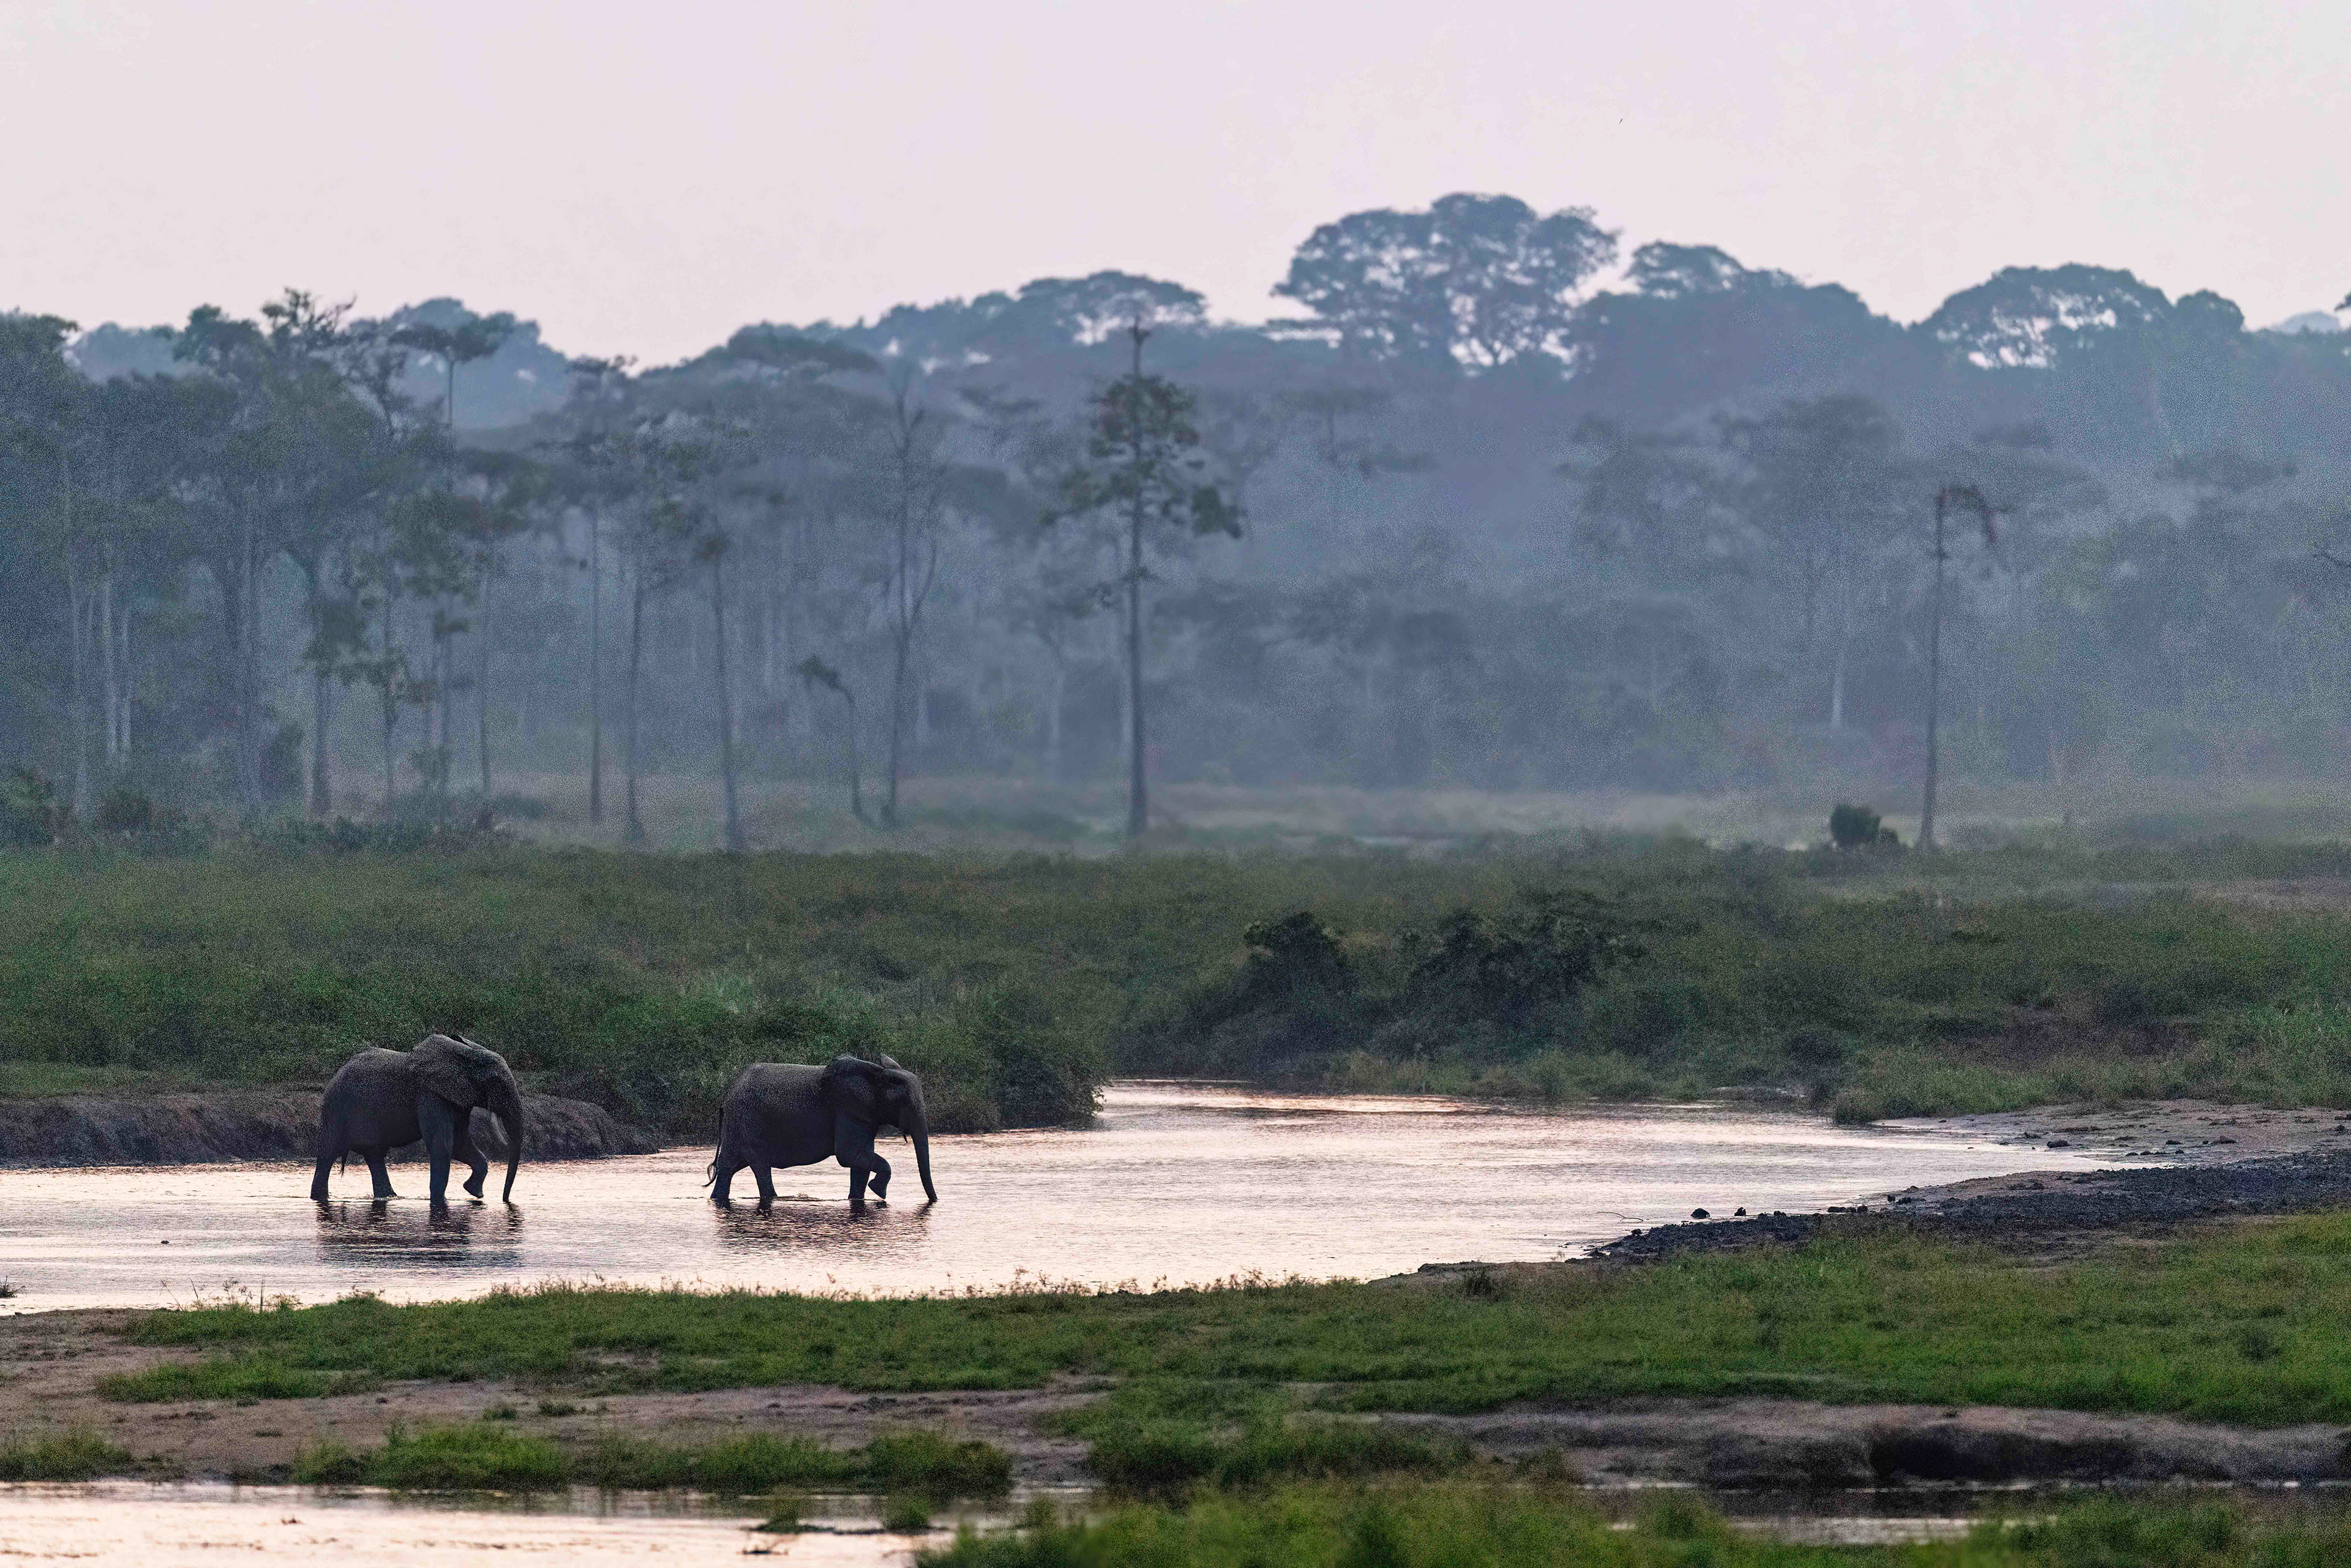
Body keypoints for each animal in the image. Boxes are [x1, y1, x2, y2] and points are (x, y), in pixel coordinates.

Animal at [311, 1033, 525, 1206]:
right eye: (496, 1082)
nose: (505, 1200)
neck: (464, 1054)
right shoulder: (428, 1094)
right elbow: (443, 1144)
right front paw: (441, 1201)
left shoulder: (457, 1098)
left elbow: (459, 1144)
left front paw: (473, 1192)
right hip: (336, 1108)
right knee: (328, 1153)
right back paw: (319, 1198)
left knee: (374, 1156)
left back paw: (389, 1197)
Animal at [708, 1053, 935, 1211]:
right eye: (905, 1103)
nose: (934, 1201)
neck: (879, 1073)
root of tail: (728, 1095)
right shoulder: (848, 1110)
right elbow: (848, 1156)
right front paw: (879, 1191)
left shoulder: (864, 1116)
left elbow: (859, 1165)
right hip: (748, 1121)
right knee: (760, 1166)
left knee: (729, 1167)